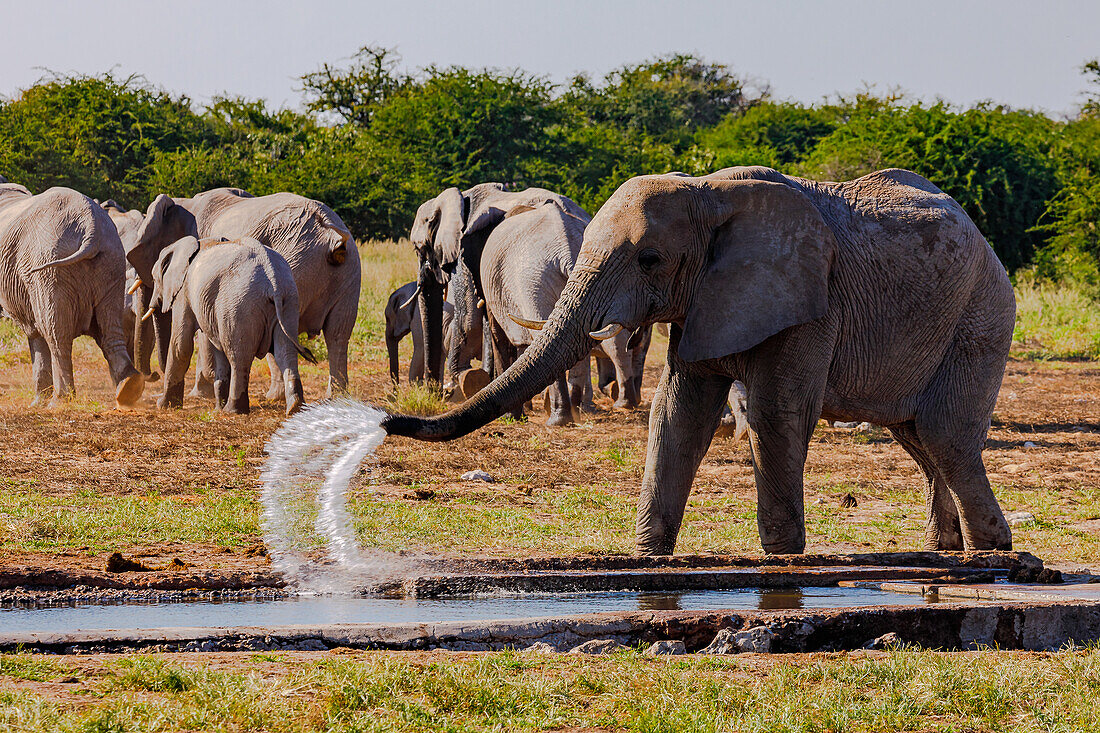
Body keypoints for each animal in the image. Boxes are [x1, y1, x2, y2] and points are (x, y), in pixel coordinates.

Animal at [0, 181, 145, 405]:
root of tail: (91, 227)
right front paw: (38, 402)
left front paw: (40, 403)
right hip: (113, 261)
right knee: (110, 329)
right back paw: (129, 387)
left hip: (49, 270)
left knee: (56, 334)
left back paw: (59, 401)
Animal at [146, 236, 314, 413]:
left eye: (154, 279)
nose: (156, 374)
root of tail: (272, 276)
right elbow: (216, 347)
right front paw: (216, 410)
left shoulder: (183, 292)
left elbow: (181, 345)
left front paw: (163, 405)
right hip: (289, 300)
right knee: (285, 351)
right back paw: (295, 407)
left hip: (240, 305)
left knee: (238, 356)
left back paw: (232, 410)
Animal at [385, 165, 1012, 554]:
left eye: (650, 259)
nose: (387, 419)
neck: (707, 192)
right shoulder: (703, 300)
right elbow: (677, 413)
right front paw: (647, 556)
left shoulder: (812, 302)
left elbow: (776, 415)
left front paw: (783, 560)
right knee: (919, 438)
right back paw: (946, 550)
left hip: (981, 317)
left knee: (945, 435)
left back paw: (993, 555)